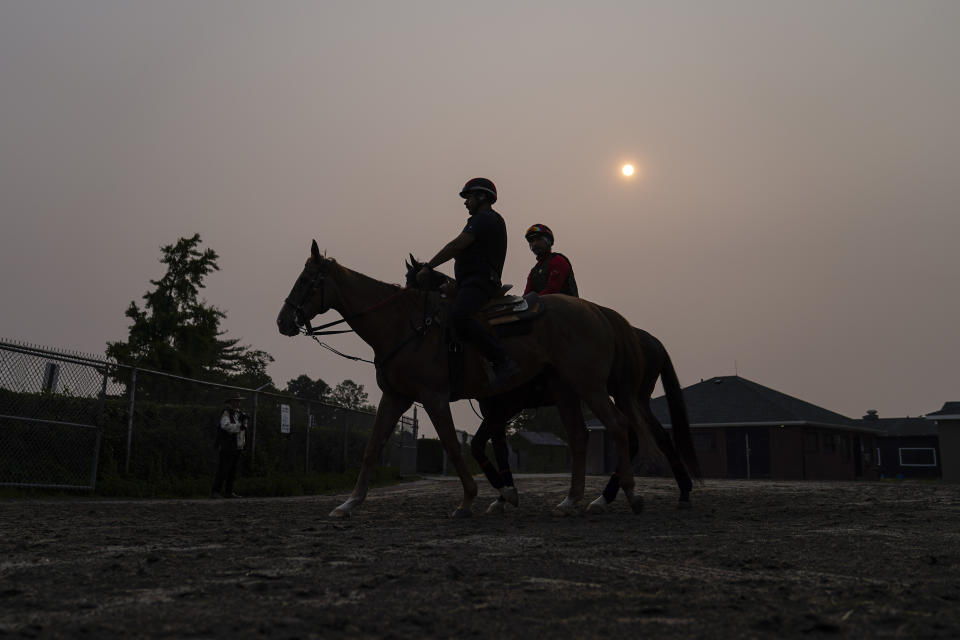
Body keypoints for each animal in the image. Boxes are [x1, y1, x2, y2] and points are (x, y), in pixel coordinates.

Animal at [278, 242, 652, 516]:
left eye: (305, 281)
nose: (282, 321)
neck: (406, 325)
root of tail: (596, 311)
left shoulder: (435, 397)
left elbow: (454, 445)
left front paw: (471, 498)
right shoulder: (396, 397)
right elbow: (372, 448)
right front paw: (349, 503)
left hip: (590, 386)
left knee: (619, 427)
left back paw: (627, 495)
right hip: (566, 391)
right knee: (579, 436)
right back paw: (572, 500)